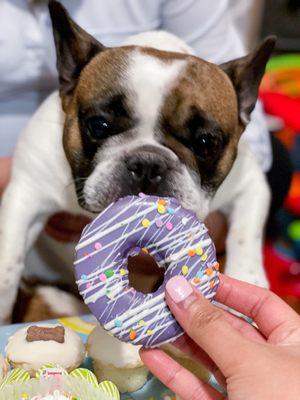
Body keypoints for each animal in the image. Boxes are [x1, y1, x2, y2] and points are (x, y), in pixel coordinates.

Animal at [0, 1, 274, 324]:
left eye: (206, 143)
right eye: (99, 125)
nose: (148, 164)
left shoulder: (250, 184)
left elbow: (245, 234)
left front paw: (248, 280)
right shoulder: (27, 192)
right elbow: (8, 259)